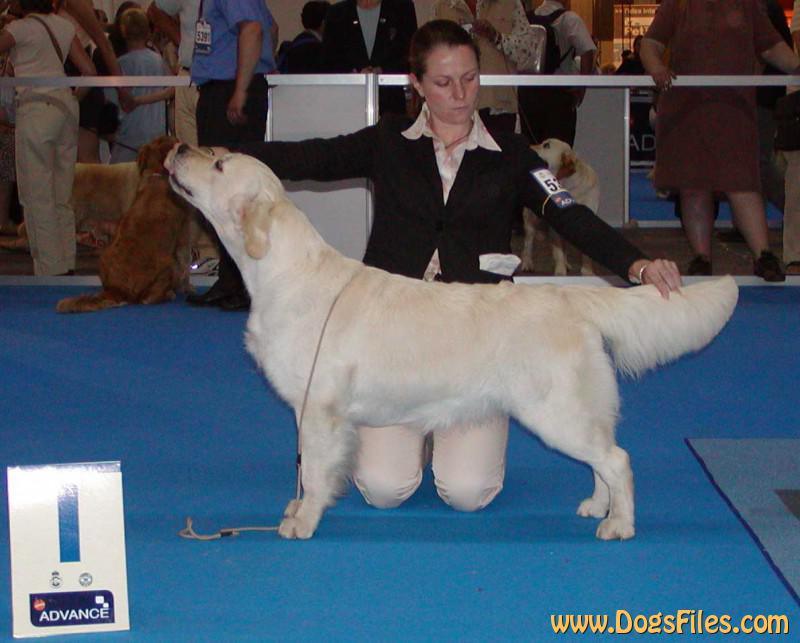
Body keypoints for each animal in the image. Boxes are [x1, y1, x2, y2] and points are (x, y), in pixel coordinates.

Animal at [57, 136, 193, 313]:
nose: (183, 145)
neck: (157, 176)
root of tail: (117, 289)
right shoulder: (183, 234)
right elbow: (185, 261)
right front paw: (187, 287)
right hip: (167, 263)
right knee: (149, 298)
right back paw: (168, 294)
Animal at [522, 139, 600, 276]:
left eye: (546, 145)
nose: (527, 146)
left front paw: (587, 271)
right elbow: (558, 251)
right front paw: (560, 271)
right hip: (531, 218)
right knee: (528, 241)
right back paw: (527, 262)